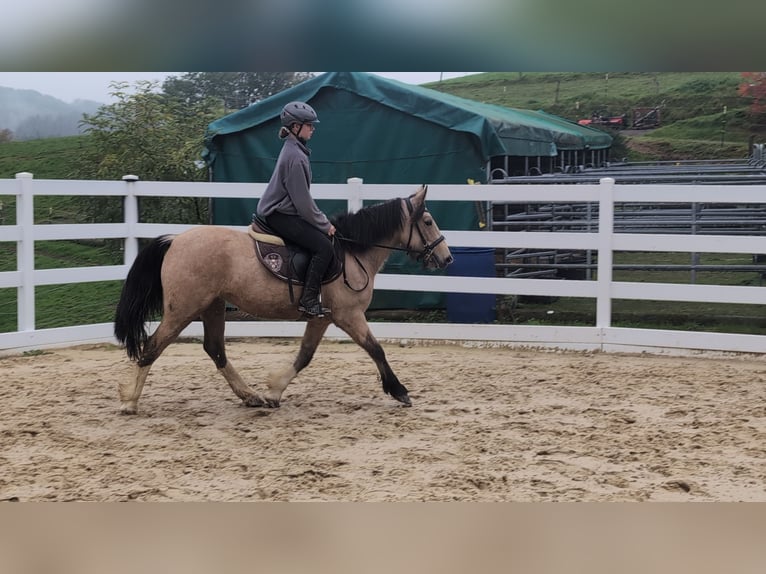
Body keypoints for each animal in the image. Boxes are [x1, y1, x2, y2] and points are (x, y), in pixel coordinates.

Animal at [113, 185, 453, 414]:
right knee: (153, 346)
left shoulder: (322, 317)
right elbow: (376, 350)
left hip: (212, 307)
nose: (446, 257)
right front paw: (399, 391)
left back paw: (250, 396)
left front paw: (274, 391)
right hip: (183, 309)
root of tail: (174, 240)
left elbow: (305, 355)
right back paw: (130, 400)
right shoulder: (349, 316)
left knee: (215, 349)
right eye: (427, 222)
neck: (351, 252)